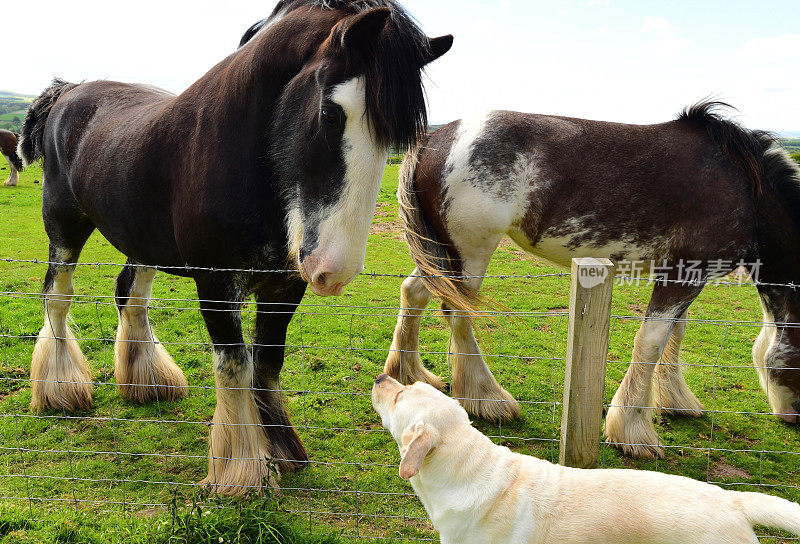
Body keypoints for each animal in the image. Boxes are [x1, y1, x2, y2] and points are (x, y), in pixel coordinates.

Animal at [18, 0, 454, 496]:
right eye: (330, 114)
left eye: (396, 140)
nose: (334, 271)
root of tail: (70, 91)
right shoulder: (214, 284)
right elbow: (234, 366)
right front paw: (241, 469)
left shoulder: (285, 285)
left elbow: (267, 362)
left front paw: (282, 447)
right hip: (64, 227)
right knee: (58, 297)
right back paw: (60, 388)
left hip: (144, 244)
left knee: (130, 295)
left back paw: (148, 381)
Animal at [386, 103, 800, 460]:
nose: (795, 417)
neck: (743, 188)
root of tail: (437, 136)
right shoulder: (685, 274)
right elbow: (651, 342)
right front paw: (633, 431)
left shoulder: (682, 272)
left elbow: (675, 335)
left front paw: (676, 401)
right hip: (470, 252)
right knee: (458, 313)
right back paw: (487, 398)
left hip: (441, 254)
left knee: (414, 292)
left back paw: (408, 373)